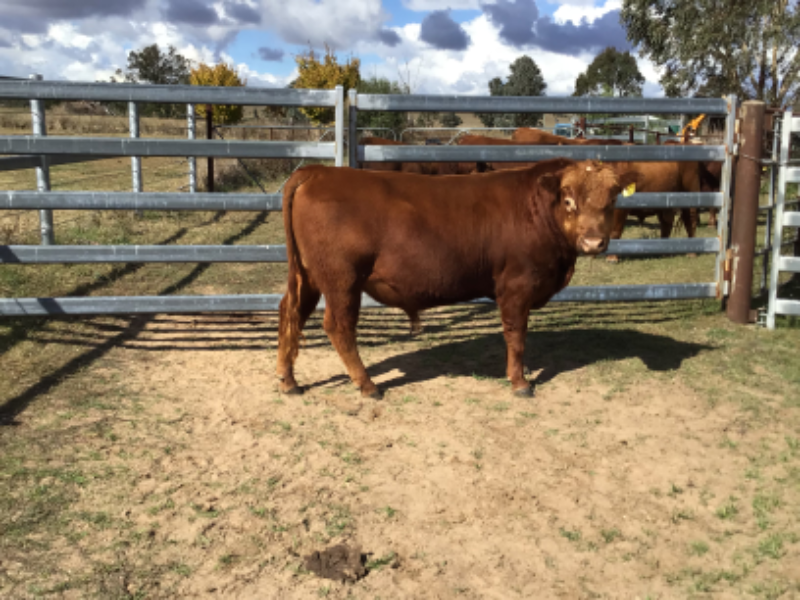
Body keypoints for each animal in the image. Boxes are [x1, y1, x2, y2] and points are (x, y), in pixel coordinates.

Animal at [277, 159, 640, 399]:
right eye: (568, 200)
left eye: (611, 200)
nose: (594, 242)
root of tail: (320, 171)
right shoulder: (516, 287)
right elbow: (516, 337)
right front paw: (520, 382)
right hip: (342, 280)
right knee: (338, 326)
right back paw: (367, 385)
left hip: (308, 276)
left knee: (290, 312)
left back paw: (288, 380)